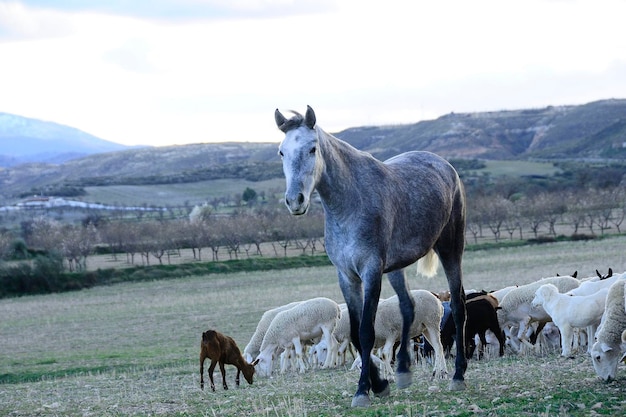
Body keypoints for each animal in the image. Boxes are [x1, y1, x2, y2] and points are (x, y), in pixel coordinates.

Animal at [276, 105, 466, 406]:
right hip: (397, 267)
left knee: (458, 306)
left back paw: (458, 375)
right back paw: (403, 371)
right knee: (408, 307)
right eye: (282, 152)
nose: (295, 201)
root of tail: (445, 166)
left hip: (451, 250)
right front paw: (380, 383)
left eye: (312, 149)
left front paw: (363, 390)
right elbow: (356, 333)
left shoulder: (371, 271)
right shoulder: (347, 277)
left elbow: (366, 332)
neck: (349, 204)